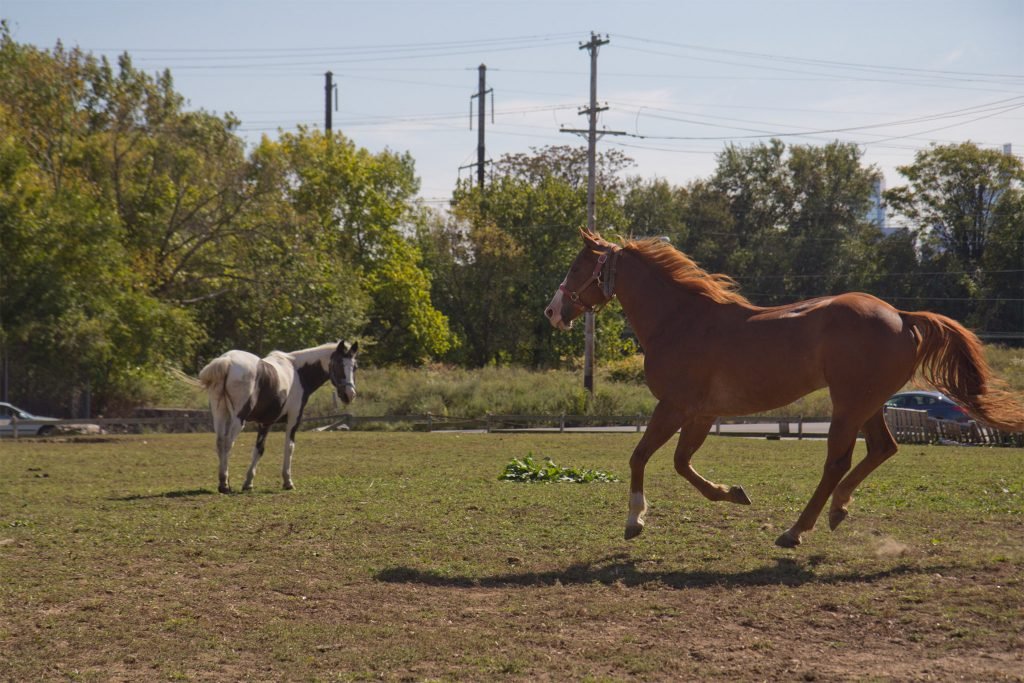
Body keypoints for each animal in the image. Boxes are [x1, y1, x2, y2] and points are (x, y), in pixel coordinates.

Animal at [193, 339, 358, 491]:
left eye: (354, 367)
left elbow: (259, 450)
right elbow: (289, 447)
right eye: (338, 364)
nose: (349, 394)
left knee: (220, 442)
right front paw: (288, 481)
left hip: (220, 414)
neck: (298, 372)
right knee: (228, 443)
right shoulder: (293, 420)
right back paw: (224, 484)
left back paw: (223, 482)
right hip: (238, 420)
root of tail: (227, 360)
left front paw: (248, 482)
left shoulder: (266, 423)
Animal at [548, 232, 1024, 548]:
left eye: (576, 267)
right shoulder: (701, 414)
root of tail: (901, 317)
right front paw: (732, 494)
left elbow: (641, 456)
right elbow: (683, 464)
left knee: (838, 461)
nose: (553, 311)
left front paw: (635, 519)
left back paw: (796, 530)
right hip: (867, 403)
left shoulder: (674, 406)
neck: (681, 320)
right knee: (882, 449)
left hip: (848, 405)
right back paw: (837, 510)